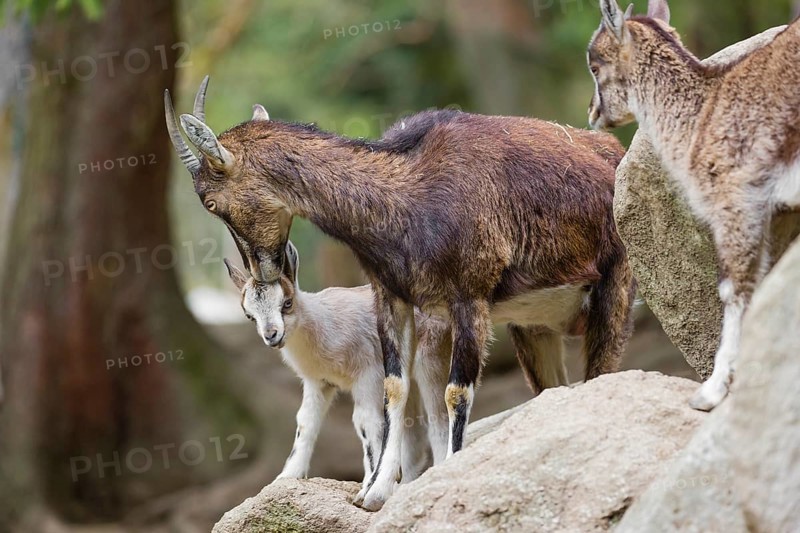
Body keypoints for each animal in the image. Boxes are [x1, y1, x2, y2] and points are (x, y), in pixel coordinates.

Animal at [224, 241, 452, 492]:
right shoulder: (319, 382)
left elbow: (365, 421)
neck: (323, 323)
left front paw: (367, 484)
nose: (271, 335)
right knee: (413, 431)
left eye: (287, 302)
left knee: (438, 420)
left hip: (431, 359)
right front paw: (286, 476)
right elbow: (305, 421)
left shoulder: (367, 375)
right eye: (249, 315)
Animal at [588, 0, 800, 411]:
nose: (592, 114)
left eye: (594, 65)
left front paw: (711, 392)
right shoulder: (777, 214)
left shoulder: (736, 203)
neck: (700, 117)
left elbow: (734, 290)